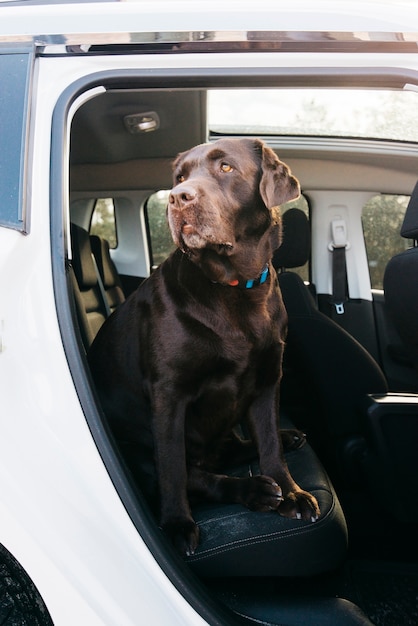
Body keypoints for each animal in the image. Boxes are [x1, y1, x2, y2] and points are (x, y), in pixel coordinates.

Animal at [86, 136, 318, 552]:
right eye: (179, 178)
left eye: (225, 168)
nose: (178, 198)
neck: (235, 288)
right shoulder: (169, 394)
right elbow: (174, 470)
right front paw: (177, 523)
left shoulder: (268, 378)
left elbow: (269, 442)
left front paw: (291, 491)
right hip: (136, 450)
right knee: (192, 473)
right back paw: (254, 490)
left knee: (236, 447)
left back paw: (286, 443)